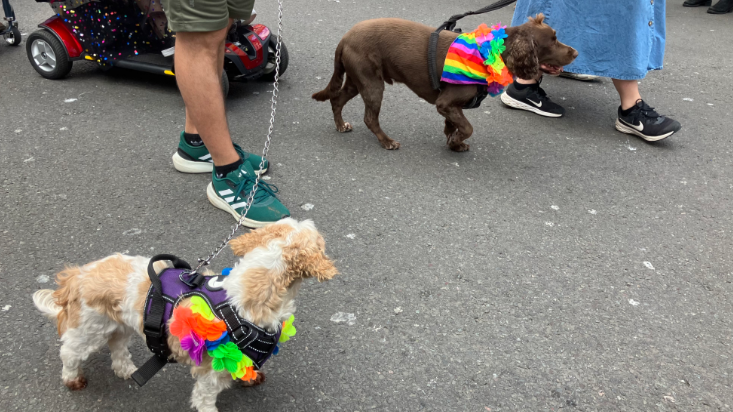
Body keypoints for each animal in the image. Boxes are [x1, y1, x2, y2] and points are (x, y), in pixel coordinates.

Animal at [33, 217, 338, 410]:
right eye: (321, 241)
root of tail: (78, 275)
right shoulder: (210, 375)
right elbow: (205, 400)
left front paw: (248, 377)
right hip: (88, 330)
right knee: (69, 352)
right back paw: (72, 378)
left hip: (120, 325)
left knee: (117, 347)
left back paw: (127, 370)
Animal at [312, 14, 576, 153]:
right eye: (552, 40)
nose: (575, 52)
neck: (494, 52)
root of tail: (345, 38)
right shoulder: (446, 102)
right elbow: (468, 128)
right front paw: (457, 142)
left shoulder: (449, 106)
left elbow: (454, 124)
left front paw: (453, 142)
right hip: (371, 83)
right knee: (369, 117)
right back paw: (386, 141)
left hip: (357, 80)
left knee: (337, 98)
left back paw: (341, 125)